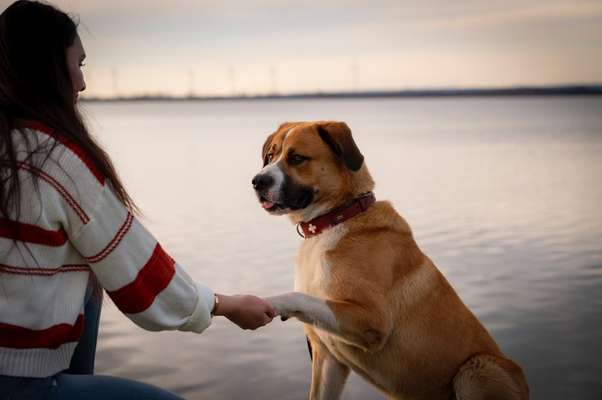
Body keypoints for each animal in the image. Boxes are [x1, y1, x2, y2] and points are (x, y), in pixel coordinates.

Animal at [251, 122, 528, 400]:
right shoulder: (328, 358)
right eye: (270, 156)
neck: (336, 219)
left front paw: (270, 303)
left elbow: (300, 296)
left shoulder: (372, 320)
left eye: (297, 158)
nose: (256, 181)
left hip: (479, 368)